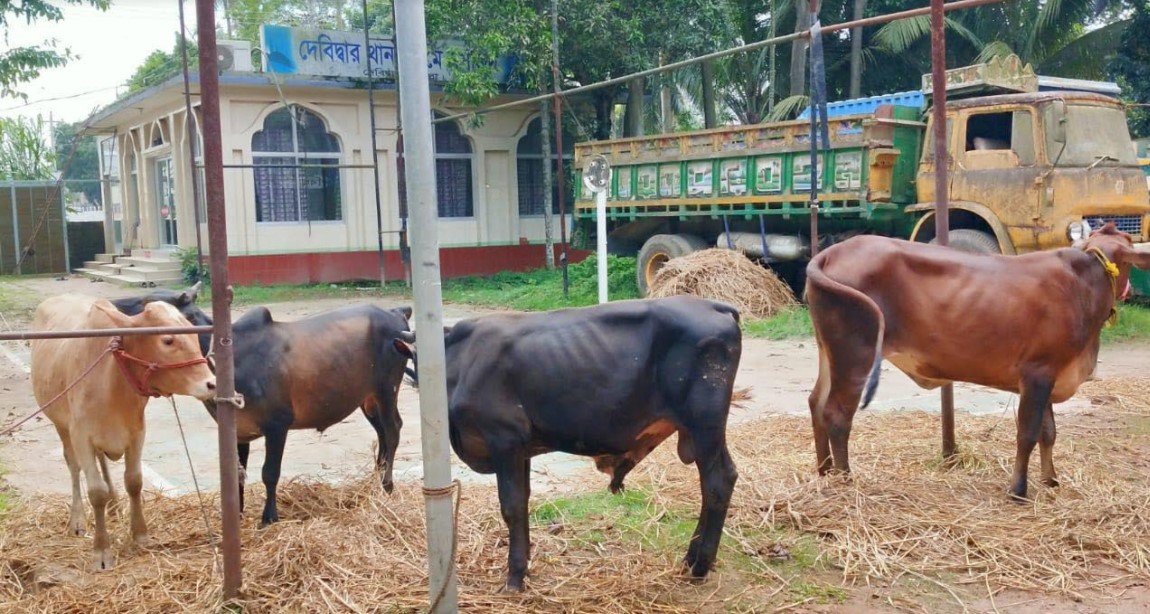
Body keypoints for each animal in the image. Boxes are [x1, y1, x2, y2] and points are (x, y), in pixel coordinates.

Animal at [30, 294, 216, 572]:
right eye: (168, 340)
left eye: (193, 333)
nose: (211, 383)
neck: (111, 381)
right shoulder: (81, 436)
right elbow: (96, 492)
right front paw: (101, 551)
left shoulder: (137, 433)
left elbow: (134, 481)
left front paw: (140, 536)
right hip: (60, 424)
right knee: (73, 466)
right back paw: (78, 520)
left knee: (102, 463)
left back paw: (115, 505)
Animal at [204, 303, 416, 524]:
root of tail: (395, 311)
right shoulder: (239, 433)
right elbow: (236, 475)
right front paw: (237, 514)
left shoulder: (277, 425)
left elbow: (269, 473)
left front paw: (269, 518)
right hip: (368, 399)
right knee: (382, 433)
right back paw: (375, 480)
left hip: (387, 390)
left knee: (392, 431)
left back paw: (387, 485)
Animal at [402, 296, 745, 593]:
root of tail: (713, 305)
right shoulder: (523, 448)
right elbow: (523, 501)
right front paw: (525, 564)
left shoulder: (505, 440)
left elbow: (511, 506)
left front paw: (514, 576)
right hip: (702, 432)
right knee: (714, 485)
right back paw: (692, 559)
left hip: (705, 425)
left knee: (718, 482)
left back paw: (699, 564)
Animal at [805, 224, 1150, 503]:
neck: (1083, 283)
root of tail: (832, 252)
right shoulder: (1036, 373)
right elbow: (1027, 433)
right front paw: (1018, 490)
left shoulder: (1052, 374)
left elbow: (1048, 432)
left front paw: (1050, 480)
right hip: (855, 351)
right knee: (837, 413)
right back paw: (845, 480)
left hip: (829, 350)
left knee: (816, 402)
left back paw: (824, 471)